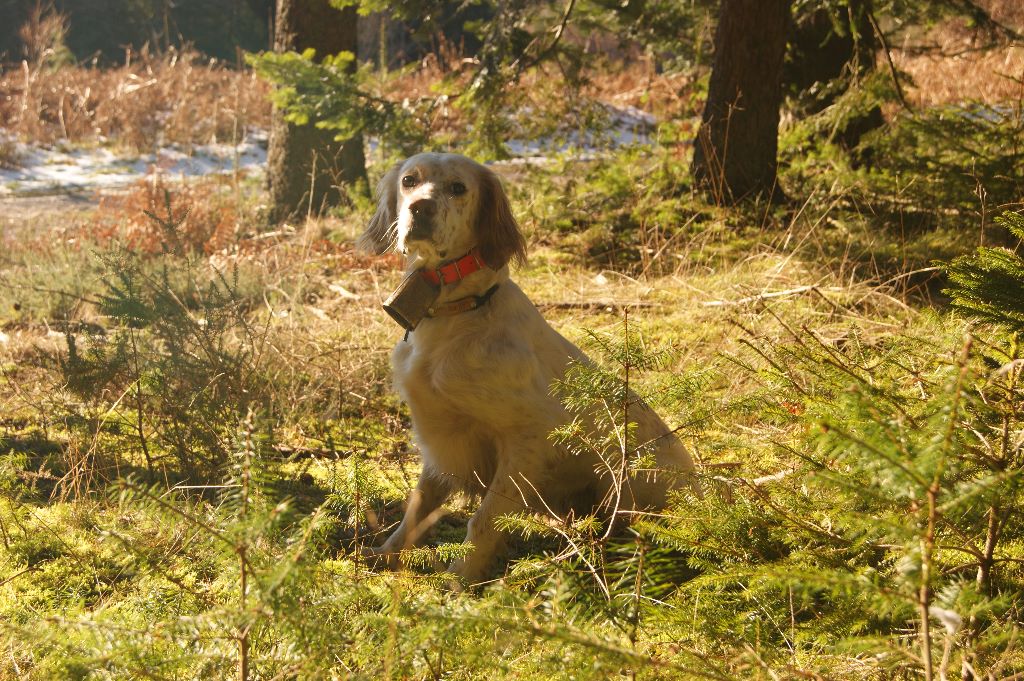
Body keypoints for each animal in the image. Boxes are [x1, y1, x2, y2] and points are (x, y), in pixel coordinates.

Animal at [358, 153, 696, 585]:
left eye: (458, 188)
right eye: (409, 180)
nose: (421, 208)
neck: (458, 311)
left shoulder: (526, 437)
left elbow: (483, 519)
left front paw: (461, 578)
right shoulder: (439, 436)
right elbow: (418, 506)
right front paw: (387, 554)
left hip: (625, 479)